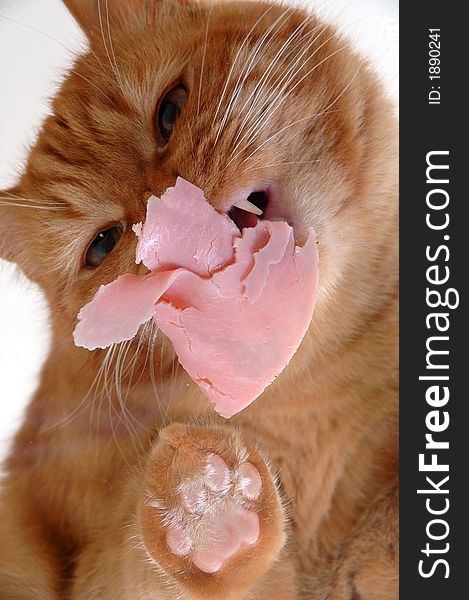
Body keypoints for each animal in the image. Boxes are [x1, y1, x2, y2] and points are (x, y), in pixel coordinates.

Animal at [0, 2, 396, 596]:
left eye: (170, 111)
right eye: (103, 244)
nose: (169, 208)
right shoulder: (93, 568)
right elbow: (147, 563)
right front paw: (207, 510)